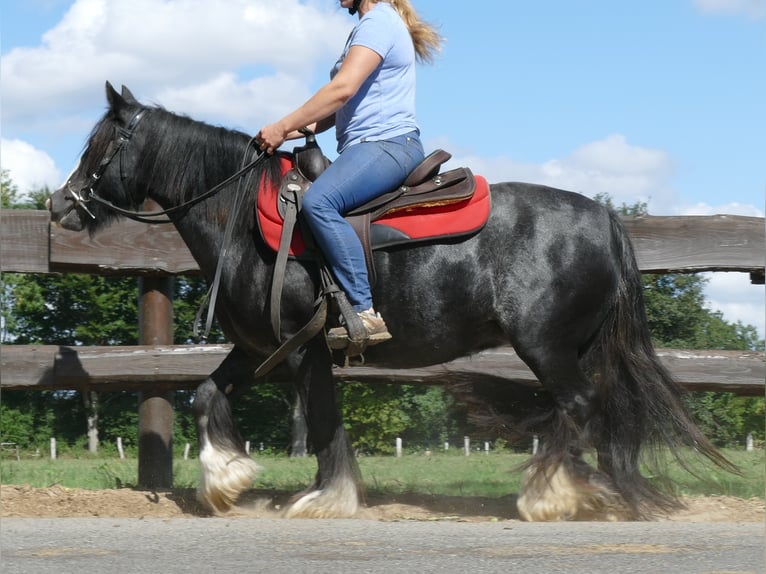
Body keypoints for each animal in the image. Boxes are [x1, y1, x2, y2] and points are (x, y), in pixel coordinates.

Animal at [49, 84, 736, 520]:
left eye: (101, 145)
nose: (59, 205)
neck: (245, 218)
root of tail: (605, 219)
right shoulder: (258, 347)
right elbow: (206, 394)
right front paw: (226, 482)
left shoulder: (303, 348)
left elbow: (321, 419)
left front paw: (326, 497)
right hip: (580, 346)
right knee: (600, 412)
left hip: (546, 345)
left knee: (577, 406)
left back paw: (549, 494)